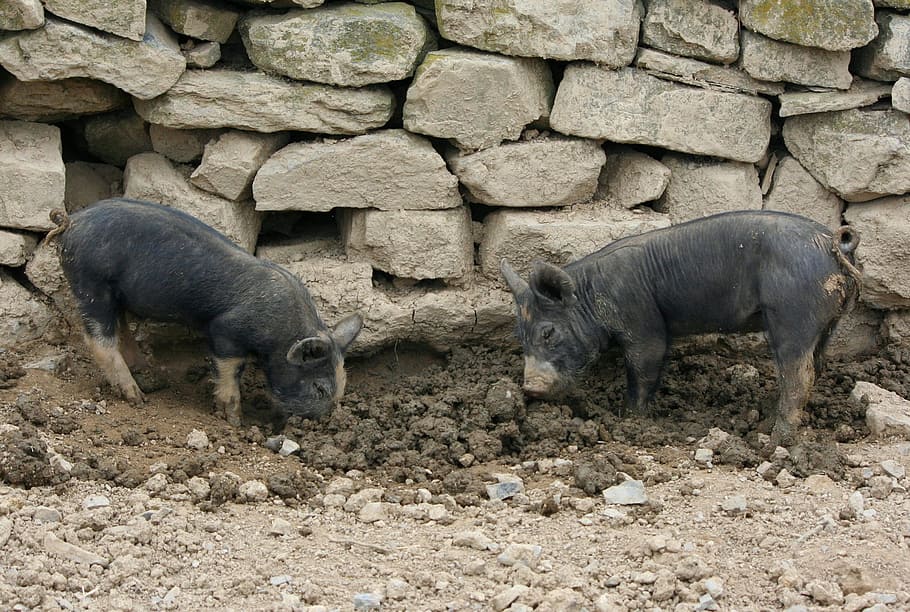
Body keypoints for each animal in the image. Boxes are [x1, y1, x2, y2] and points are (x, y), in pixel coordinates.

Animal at [47, 198, 363, 426]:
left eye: (343, 384)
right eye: (319, 387)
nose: (323, 423)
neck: (281, 332)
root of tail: (71, 221)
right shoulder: (225, 331)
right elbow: (230, 370)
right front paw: (234, 421)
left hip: (113, 293)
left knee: (121, 329)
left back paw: (150, 377)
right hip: (91, 284)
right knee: (99, 340)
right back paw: (137, 397)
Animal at [500, 210, 861, 445]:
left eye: (548, 332)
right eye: (521, 337)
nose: (529, 387)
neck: (593, 297)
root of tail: (833, 242)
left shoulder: (643, 326)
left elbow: (644, 369)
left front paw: (630, 420)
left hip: (792, 316)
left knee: (798, 375)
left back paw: (774, 441)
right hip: (827, 322)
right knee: (814, 366)